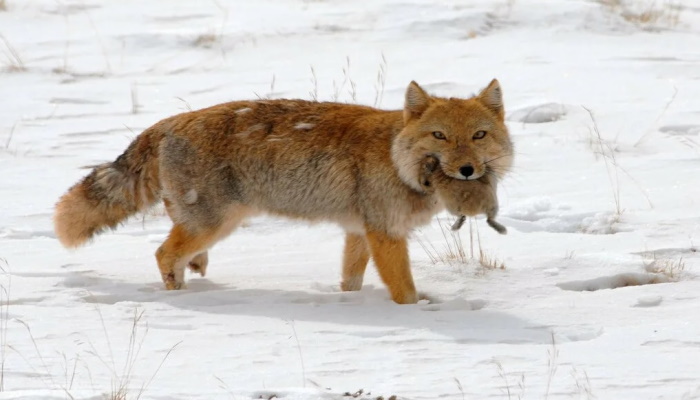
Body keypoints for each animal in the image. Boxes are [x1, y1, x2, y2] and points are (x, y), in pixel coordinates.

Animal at [53, 79, 513, 304]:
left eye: (478, 135)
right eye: (440, 136)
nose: (468, 170)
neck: (396, 159)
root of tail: (168, 122)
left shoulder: (358, 232)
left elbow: (350, 282)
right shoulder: (385, 234)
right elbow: (404, 290)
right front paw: (417, 314)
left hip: (213, 223)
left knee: (179, 249)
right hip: (215, 223)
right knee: (164, 254)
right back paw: (184, 298)